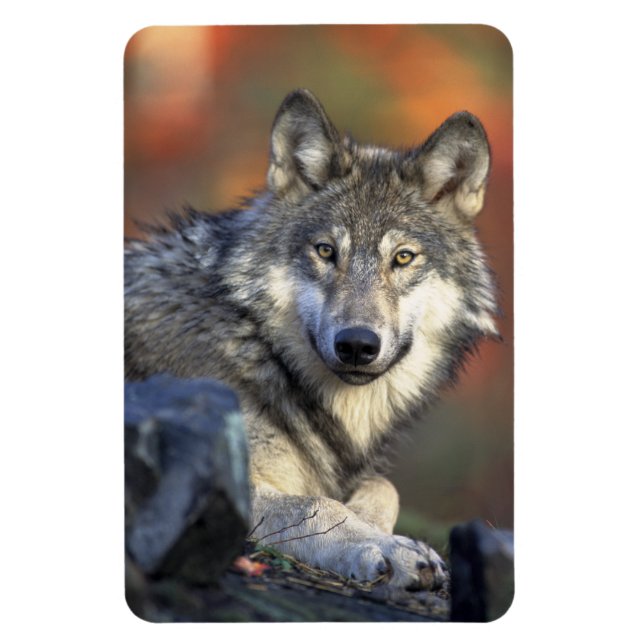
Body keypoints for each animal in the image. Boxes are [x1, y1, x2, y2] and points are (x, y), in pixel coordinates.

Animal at [125, 89, 498, 590]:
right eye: (326, 251)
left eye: (403, 258)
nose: (357, 344)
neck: (258, 348)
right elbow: (317, 505)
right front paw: (385, 547)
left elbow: (383, 486)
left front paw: (376, 527)